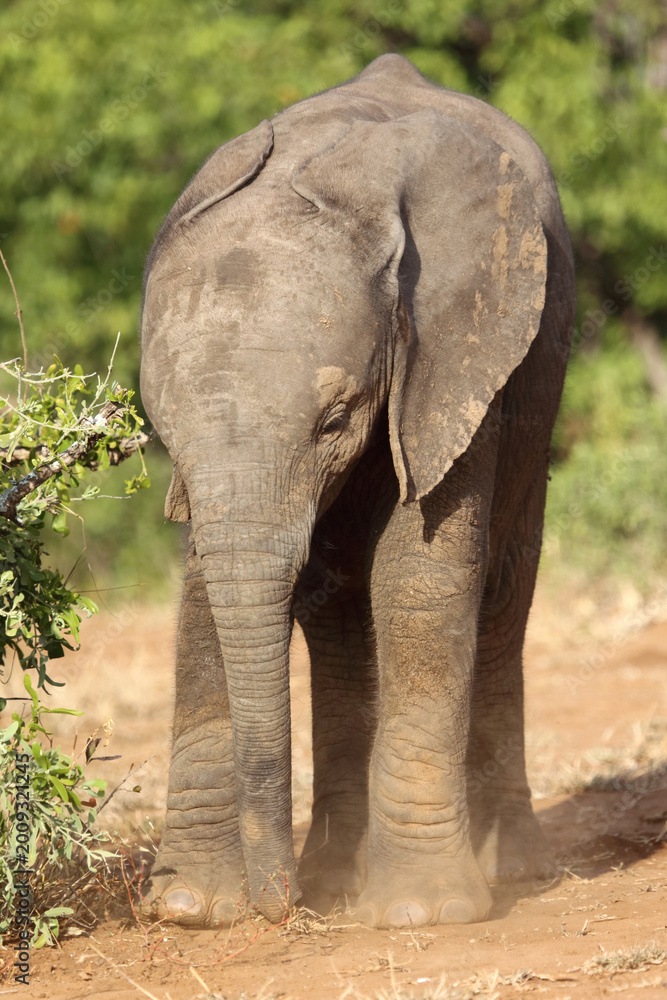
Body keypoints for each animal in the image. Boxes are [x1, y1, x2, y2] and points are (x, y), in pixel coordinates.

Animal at [139, 53, 575, 930]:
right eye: (162, 433)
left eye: (335, 420)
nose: (278, 907)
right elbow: (203, 592)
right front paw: (191, 908)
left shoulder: (456, 355)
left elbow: (419, 577)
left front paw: (422, 915)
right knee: (339, 614)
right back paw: (337, 877)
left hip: (536, 386)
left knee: (500, 598)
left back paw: (509, 873)